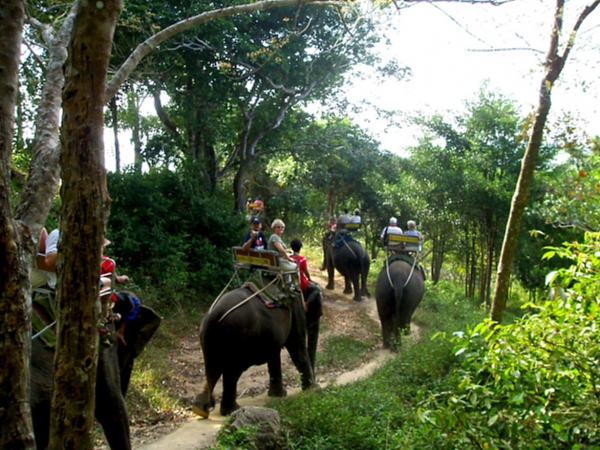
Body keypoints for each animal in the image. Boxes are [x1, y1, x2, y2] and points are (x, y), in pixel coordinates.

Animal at [192, 282, 324, 418]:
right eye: (319, 311)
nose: (316, 383)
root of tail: (214, 315)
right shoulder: (296, 312)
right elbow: (297, 347)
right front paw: (313, 390)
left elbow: (275, 354)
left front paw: (279, 395)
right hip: (236, 338)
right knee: (232, 371)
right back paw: (232, 410)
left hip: (208, 337)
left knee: (212, 369)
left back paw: (200, 408)